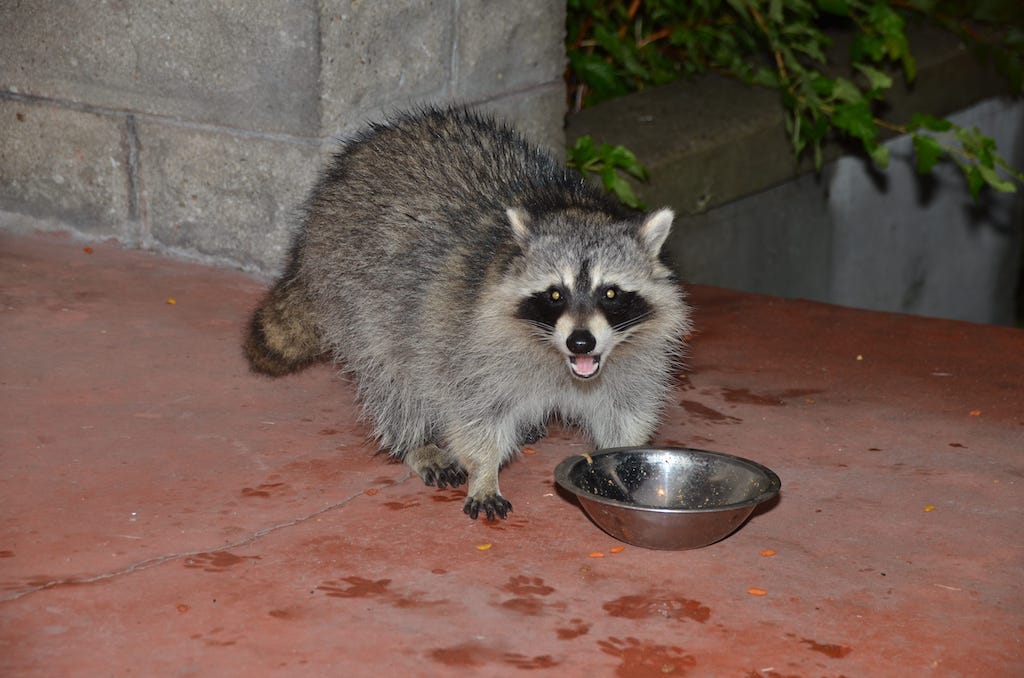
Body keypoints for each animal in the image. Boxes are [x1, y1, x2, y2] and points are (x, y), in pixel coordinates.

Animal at [246, 104, 692, 520]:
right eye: (555, 295)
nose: (581, 341)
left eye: (610, 293)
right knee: (392, 375)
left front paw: (619, 462)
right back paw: (414, 440)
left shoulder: (635, 358)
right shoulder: (468, 341)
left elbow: (625, 412)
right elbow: (474, 414)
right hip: (353, 290)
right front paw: (483, 471)